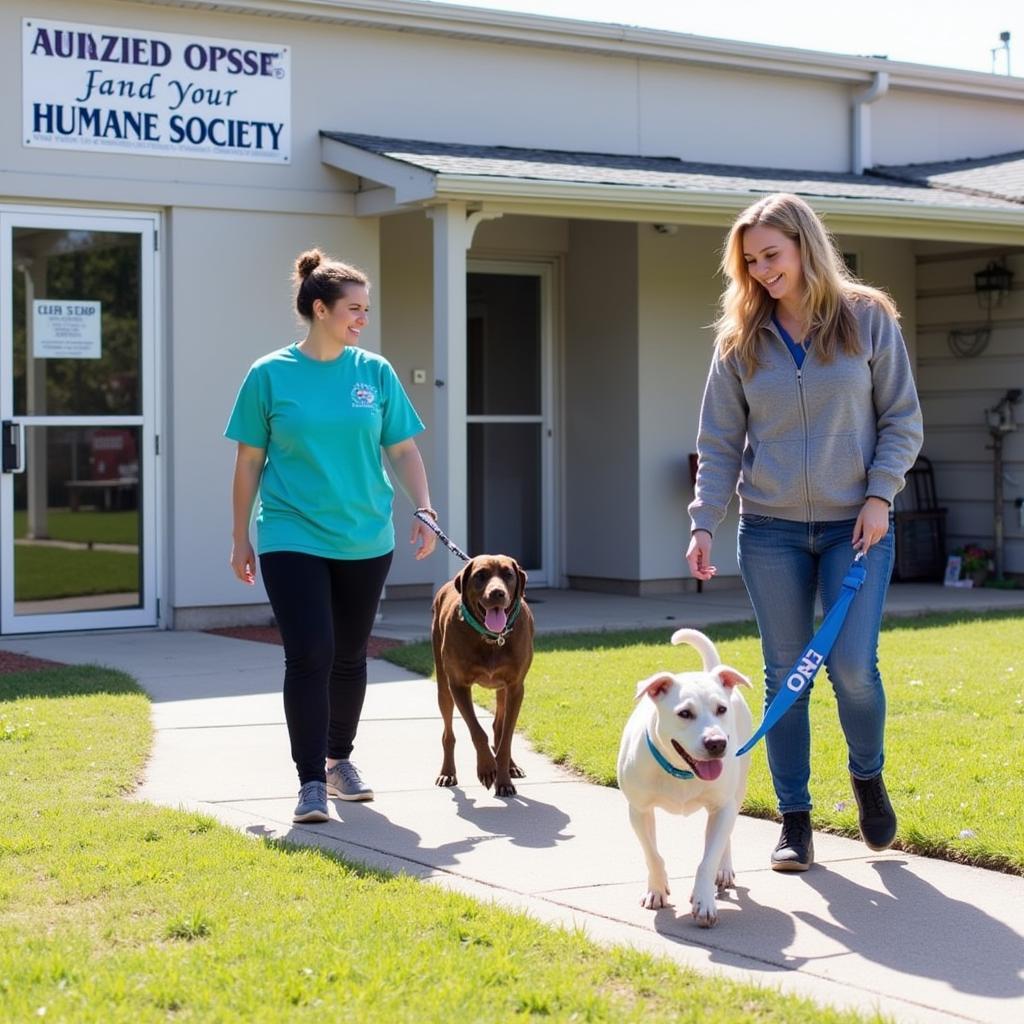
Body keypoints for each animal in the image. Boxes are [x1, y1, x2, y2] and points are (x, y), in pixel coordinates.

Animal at [428, 557, 536, 794]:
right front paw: (487, 768)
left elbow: (506, 738)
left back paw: (511, 766)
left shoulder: (516, 687)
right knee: (448, 732)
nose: (497, 593)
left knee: (500, 727)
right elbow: (477, 732)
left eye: (508, 575)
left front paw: (504, 780)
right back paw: (447, 773)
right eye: (480, 575)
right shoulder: (458, 685)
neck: (492, 638)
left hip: (503, 689)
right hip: (442, 682)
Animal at [614, 622, 753, 929]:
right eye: (685, 713)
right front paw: (656, 890)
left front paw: (704, 901)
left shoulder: (721, 807)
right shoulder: (638, 810)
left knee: (727, 831)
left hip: (737, 789)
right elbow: (652, 854)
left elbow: (708, 858)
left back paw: (723, 870)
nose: (717, 743)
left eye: (721, 709)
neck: (683, 771)